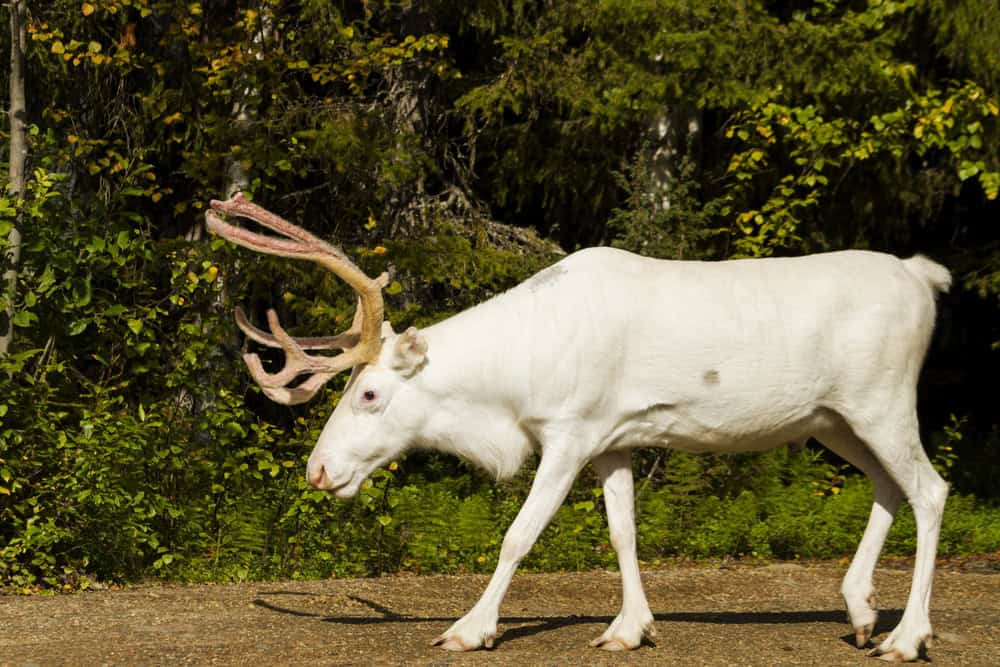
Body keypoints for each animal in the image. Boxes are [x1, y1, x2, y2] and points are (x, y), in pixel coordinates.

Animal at [206, 193, 951, 662]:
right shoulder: (613, 441)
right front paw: (629, 628)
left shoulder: (568, 433)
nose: (318, 470)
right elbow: (623, 533)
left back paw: (906, 636)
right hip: (834, 419)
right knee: (890, 484)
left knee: (931, 488)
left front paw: (469, 628)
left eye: (368, 392)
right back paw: (860, 611)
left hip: (882, 399)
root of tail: (923, 278)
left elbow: (519, 535)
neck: (510, 382)